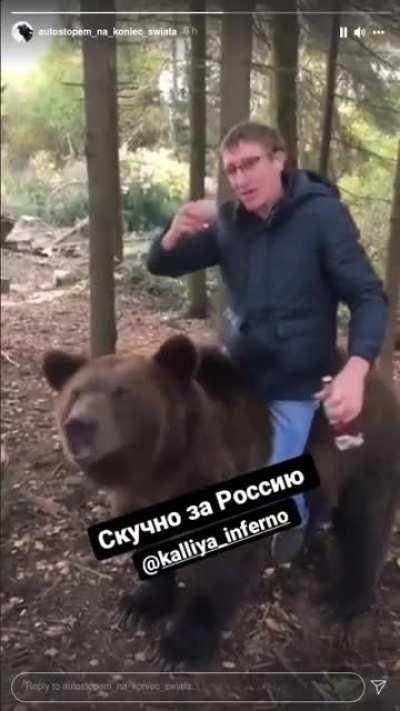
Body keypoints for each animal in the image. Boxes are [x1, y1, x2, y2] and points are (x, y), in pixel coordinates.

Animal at [42, 334, 400, 669]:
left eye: (122, 393)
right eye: (76, 392)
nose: (79, 426)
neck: (164, 468)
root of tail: (381, 384)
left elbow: (220, 573)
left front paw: (179, 648)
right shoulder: (138, 497)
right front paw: (137, 606)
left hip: (364, 455)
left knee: (365, 524)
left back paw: (343, 599)